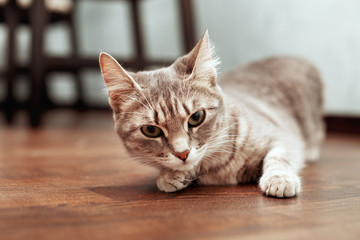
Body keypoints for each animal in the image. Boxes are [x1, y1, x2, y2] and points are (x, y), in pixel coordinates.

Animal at [98, 30, 324, 198]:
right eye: (151, 130)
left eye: (196, 118)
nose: (182, 153)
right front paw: (170, 176)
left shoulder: (283, 136)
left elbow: (279, 157)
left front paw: (280, 179)